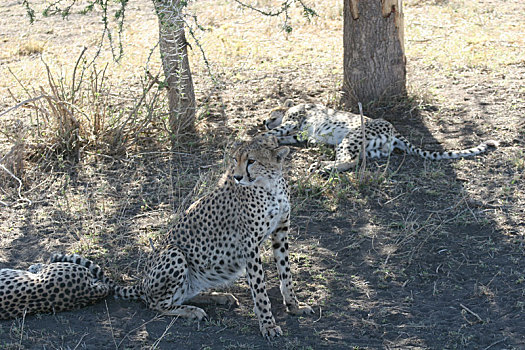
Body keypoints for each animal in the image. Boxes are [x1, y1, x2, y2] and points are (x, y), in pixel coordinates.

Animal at [113, 135, 312, 340]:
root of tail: (141, 283)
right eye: (235, 159)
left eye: (251, 161)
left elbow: (286, 273)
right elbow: (259, 288)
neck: (270, 185)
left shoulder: (280, 232)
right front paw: (268, 324)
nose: (237, 177)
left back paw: (219, 297)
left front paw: (294, 306)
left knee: (183, 294)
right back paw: (192, 311)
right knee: (156, 304)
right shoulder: (249, 244)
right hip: (174, 253)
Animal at [264, 100, 498, 174]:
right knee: (357, 161)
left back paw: (323, 167)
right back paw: (325, 166)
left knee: (349, 161)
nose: (264, 120)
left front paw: (260, 135)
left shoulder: (292, 122)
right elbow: (284, 138)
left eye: (270, 113)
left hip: (351, 137)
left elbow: (274, 132)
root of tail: (393, 129)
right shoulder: (298, 135)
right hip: (372, 149)